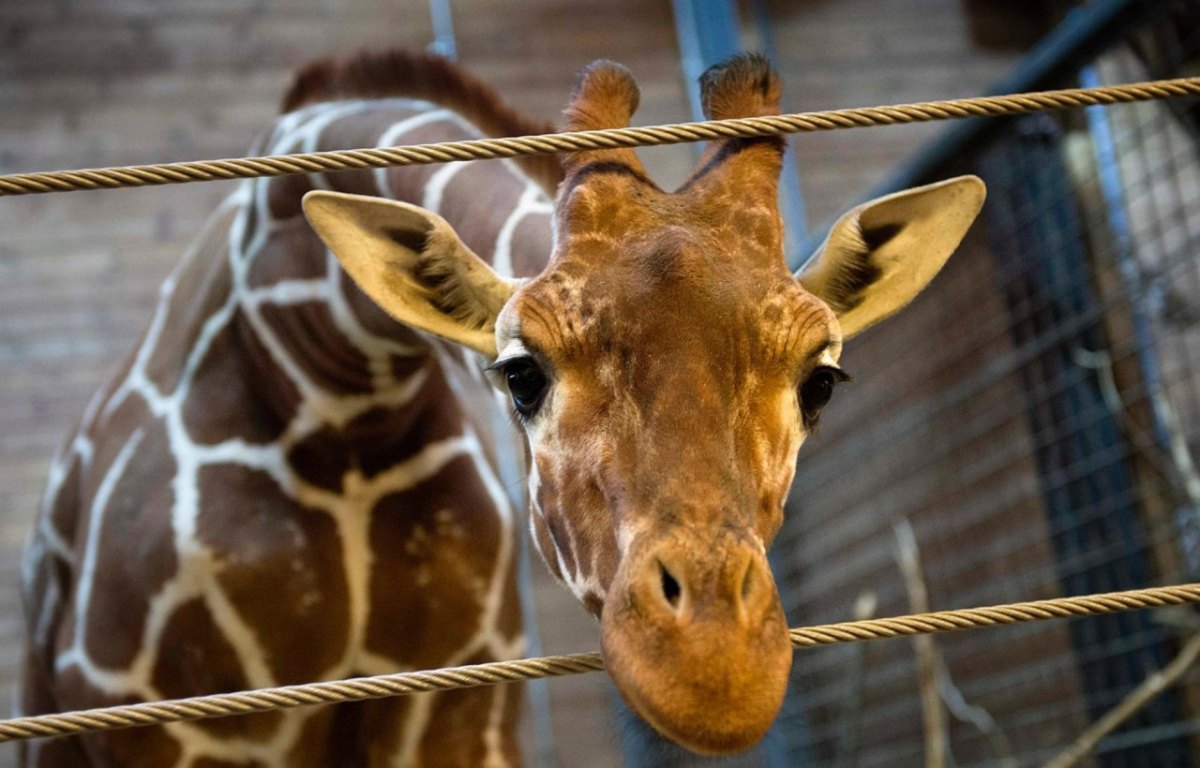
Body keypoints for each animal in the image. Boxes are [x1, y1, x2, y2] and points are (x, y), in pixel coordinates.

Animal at [16, 51, 984, 763]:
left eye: (820, 380)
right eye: (522, 374)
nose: (714, 671)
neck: (333, 391)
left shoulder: (456, 706)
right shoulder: (169, 724)